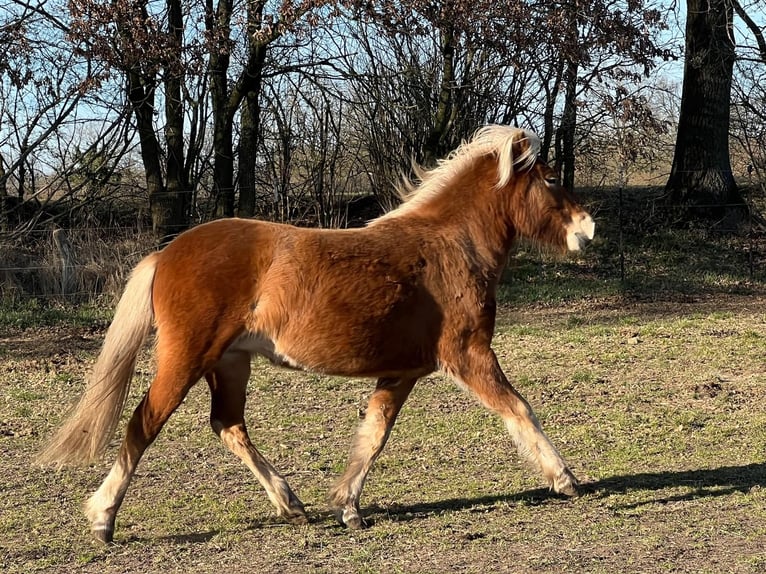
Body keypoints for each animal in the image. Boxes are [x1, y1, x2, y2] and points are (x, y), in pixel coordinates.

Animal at [37, 125, 595, 543]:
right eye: (550, 179)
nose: (587, 229)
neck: (447, 246)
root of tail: (167, 252)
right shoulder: (467, 354)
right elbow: (518, 407)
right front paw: (564, 478)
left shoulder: (401, 372)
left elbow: (374, 435)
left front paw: (347, 506)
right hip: (186, 357)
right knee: (142, 424)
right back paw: (103, 519)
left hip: (230, 362)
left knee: (228, 425)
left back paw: (291, 504)